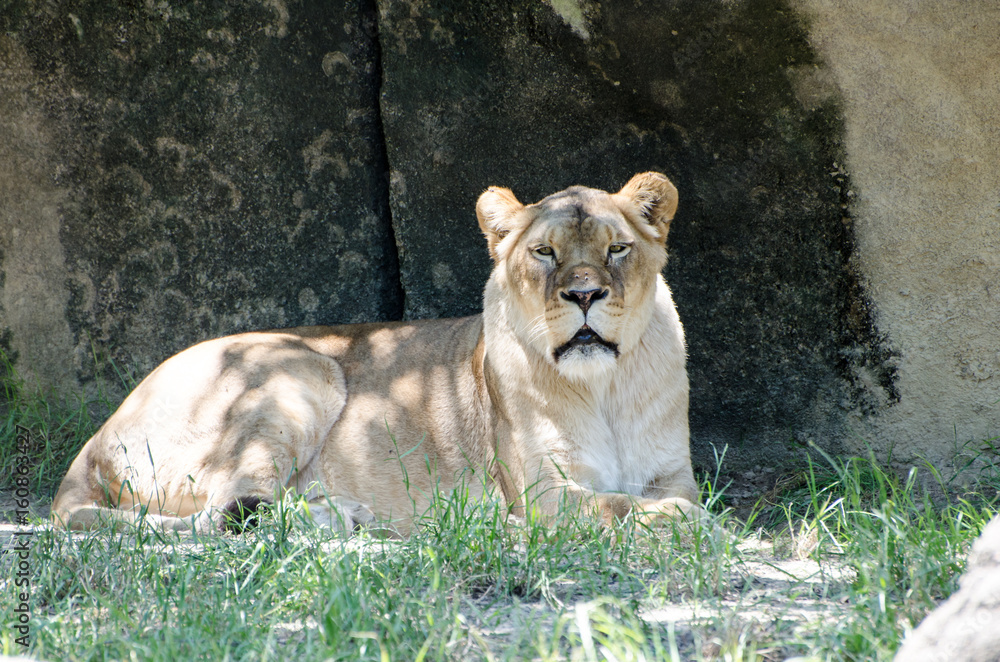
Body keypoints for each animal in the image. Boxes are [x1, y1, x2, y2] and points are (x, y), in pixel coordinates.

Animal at [50, 172, 701, 536]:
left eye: (617, 249)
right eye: (544, 253)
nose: (585, 295)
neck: (604, 387)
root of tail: (93, 441)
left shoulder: (673, 474)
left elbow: (658, 498)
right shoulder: (545, 492)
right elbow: (625, 508)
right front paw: (687, 524)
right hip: (296, 371)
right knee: (223, 515)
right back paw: (343, 517)